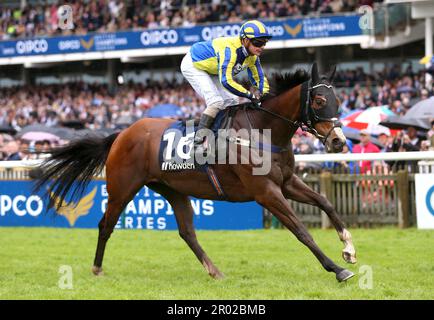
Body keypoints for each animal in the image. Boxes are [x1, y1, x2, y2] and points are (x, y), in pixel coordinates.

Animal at [35, 62, 358, 282]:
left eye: (339, 101)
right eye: (319, 101)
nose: (338, 141)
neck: (263, 131)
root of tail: (121, 133)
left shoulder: (287, 182)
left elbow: (326, 203)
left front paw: (349, 248)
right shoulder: (266, 192)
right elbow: (301, 230)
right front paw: (337, 269)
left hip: (172, 189)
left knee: (186, 231)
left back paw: (214, 271)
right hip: (122, 188)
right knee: (105, 224)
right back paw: (97, 267)